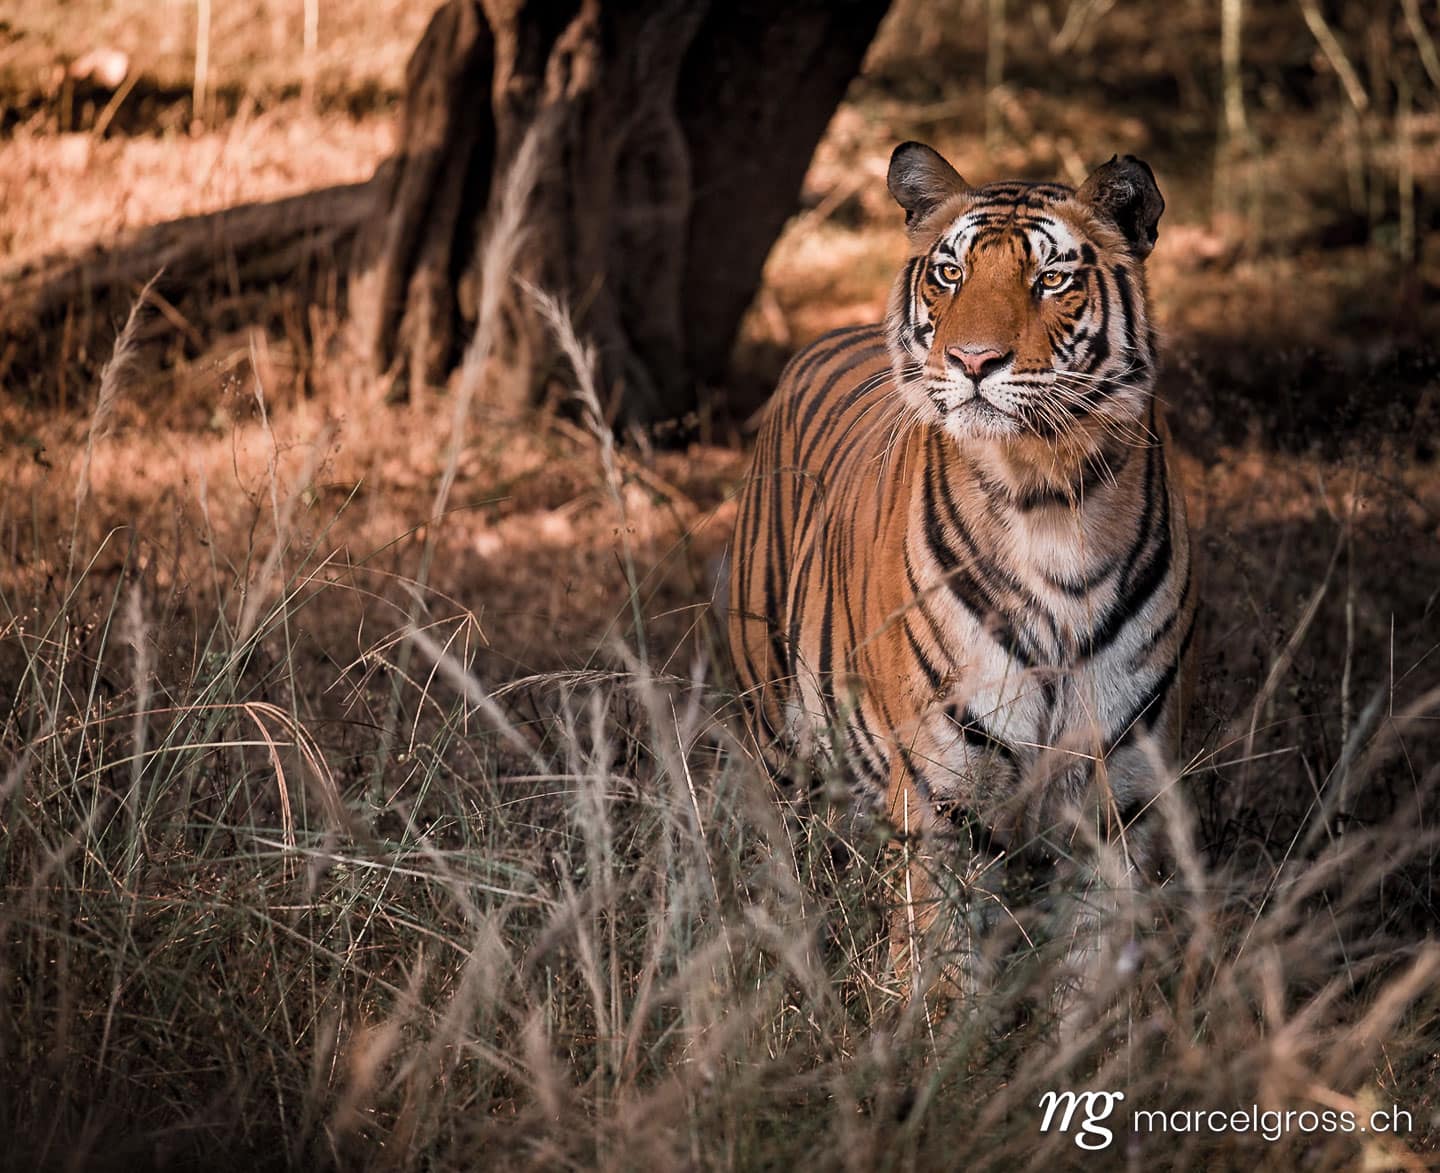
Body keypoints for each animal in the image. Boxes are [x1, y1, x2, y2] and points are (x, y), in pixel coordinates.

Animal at [727, 141, 1195, 1005]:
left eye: (1051, 280)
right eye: (949, 274)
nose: (972, 360)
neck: (1052, 501)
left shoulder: (1116, 804)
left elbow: (1091, 982)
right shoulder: (941, 798)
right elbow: (941, 969)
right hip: (777, 741)